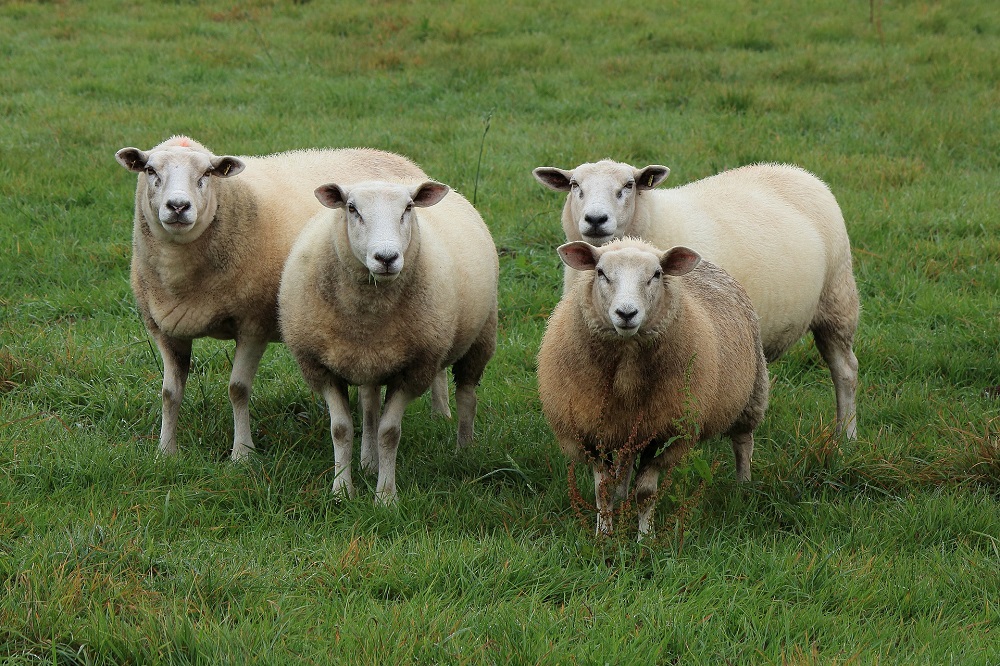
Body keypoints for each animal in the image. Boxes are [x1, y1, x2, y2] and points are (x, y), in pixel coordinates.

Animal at [115, 135, 435, 461]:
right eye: (150, 170)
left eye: (206, 174)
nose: (178, 206)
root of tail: (397, 158)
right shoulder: (165, 329)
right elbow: (169, 393)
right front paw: (165, 451)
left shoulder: (254, 325)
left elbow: (238, 389)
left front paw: (242, 453)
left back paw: (442, 416)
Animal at [278, 179, 499, 503]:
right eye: (351, 208)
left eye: (408, 207)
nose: (386, 258)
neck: (367, 316)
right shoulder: (320, 367)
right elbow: (341, 429)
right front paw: (342, 491)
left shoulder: (414, 370)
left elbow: (389, 433)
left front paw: (385, 497)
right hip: (369, 360)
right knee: (370, 406)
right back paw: (368, 462)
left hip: (481, 337)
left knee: (467, 396)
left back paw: (465, 451)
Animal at [533, 160, 858, 439]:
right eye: (575, 184)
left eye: (628, 185)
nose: (596, 219)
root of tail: (796, 170)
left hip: (837, 299)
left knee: (845, 371)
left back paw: (846, 437)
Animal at [536, 237, 769, 538]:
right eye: (600, 272)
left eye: (656, 274)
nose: (626, 313)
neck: (626, 375)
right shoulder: (592, 430)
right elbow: (602, 489)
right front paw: (604, 535)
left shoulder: (665, 431)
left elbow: (646, 492)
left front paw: (645, 537)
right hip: (629, 425)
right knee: (625, 462)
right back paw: (621, 495)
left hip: (752, 393)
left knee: (743, 443)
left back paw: (744, 487)